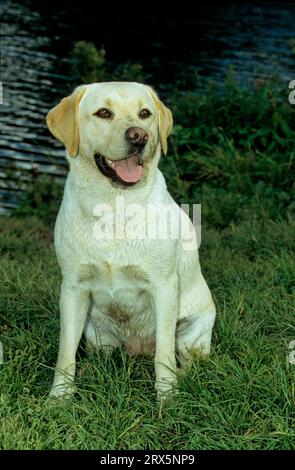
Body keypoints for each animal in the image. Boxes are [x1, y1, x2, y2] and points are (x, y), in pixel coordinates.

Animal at [46, 82, 217, 398]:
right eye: (103, 113)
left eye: (145, 113)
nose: (139, 136)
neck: (114, 206)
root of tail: (139, 351)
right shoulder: (73, 288)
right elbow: (65, 353)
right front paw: (59, 398)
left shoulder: (164, 287)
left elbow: (164, 356)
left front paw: (168, 398)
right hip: (96, 332)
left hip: (194, 330)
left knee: (184, 358)